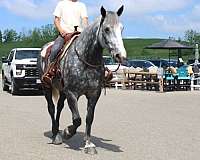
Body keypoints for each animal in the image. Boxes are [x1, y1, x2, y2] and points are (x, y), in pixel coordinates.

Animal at [38, 5, 126, 154]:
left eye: (121, 28)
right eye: (106, 29)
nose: (121, 55)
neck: (85, 59)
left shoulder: (93, 94)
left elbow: (89, 118)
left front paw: (89, 144)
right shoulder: (72, 93)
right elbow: (77, 119)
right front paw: (67, 132)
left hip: (62, 90)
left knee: (59, 107)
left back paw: (57, 131)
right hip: (47, 87)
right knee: (51, 108)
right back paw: (56, 135)